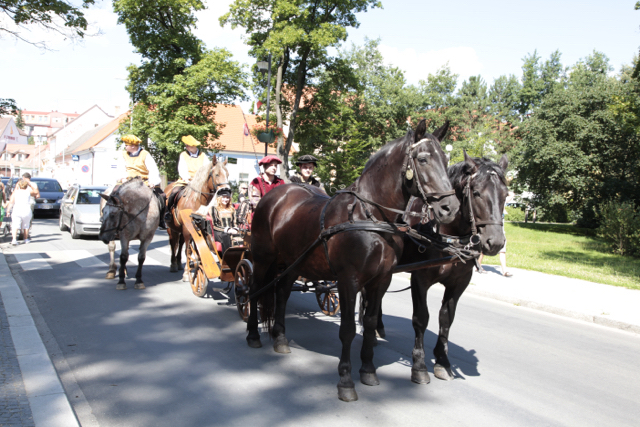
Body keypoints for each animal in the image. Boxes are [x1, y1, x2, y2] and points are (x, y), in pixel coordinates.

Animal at [245, 119, 460, 402]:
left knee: (281, 293)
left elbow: (368, 323)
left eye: (445, 160)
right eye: (423, 159)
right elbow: (347, 329)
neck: (369, 216)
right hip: (262, 259)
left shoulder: (380, 281)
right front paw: (346, 380)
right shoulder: (349, 280)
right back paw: (252, 334)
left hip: (292, 262)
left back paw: (280, 338)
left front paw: (368, 369)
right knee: (255, 290)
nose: (451, 208)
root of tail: (277, 194)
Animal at [396, 154, 510, 384]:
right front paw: (419, 364)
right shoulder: (420, 279)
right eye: (476, 192)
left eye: (505, 194)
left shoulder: (459, 282)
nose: (495, 242)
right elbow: (421, 318)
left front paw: (442, 361)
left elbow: (446, 319)